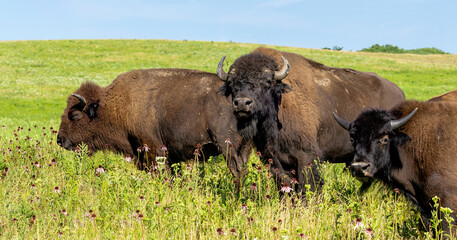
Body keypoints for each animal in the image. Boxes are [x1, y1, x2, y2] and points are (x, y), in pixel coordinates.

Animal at [216, 47, 404, 193]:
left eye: (267, 81)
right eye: (231, 83)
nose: (242, 103)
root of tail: (400, 93)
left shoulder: (306, 156)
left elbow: (309, 187)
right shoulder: (274, 159)